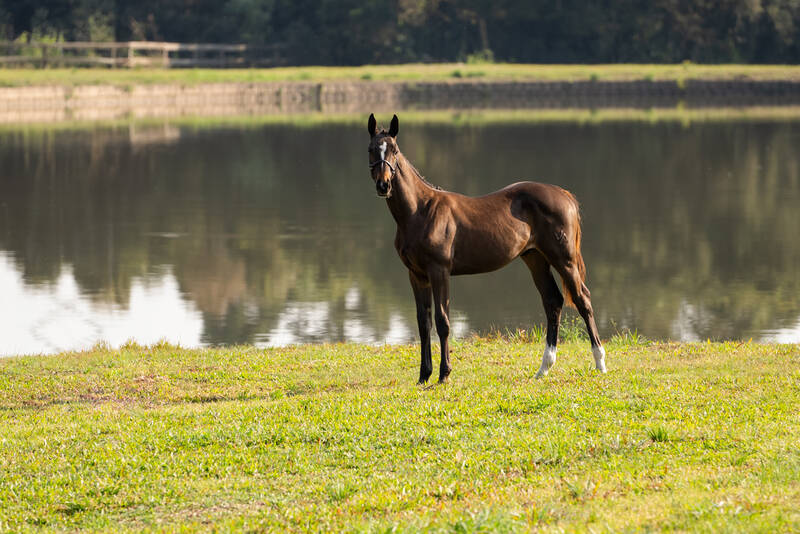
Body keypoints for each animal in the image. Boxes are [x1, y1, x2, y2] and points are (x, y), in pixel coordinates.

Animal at [368, 114, 608, 386]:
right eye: (371, 149)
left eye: (394, 150)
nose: (383, 185)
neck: (421, 210)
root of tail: (565, 195)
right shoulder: (416, 275)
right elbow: (423, 322)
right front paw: (423, 376)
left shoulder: (439, 271)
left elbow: (443, 321)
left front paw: (444, 374)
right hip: (535, 258)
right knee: (553, 301)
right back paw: (544, 368)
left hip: (563, 258)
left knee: (582, 299)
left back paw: (600, 363)